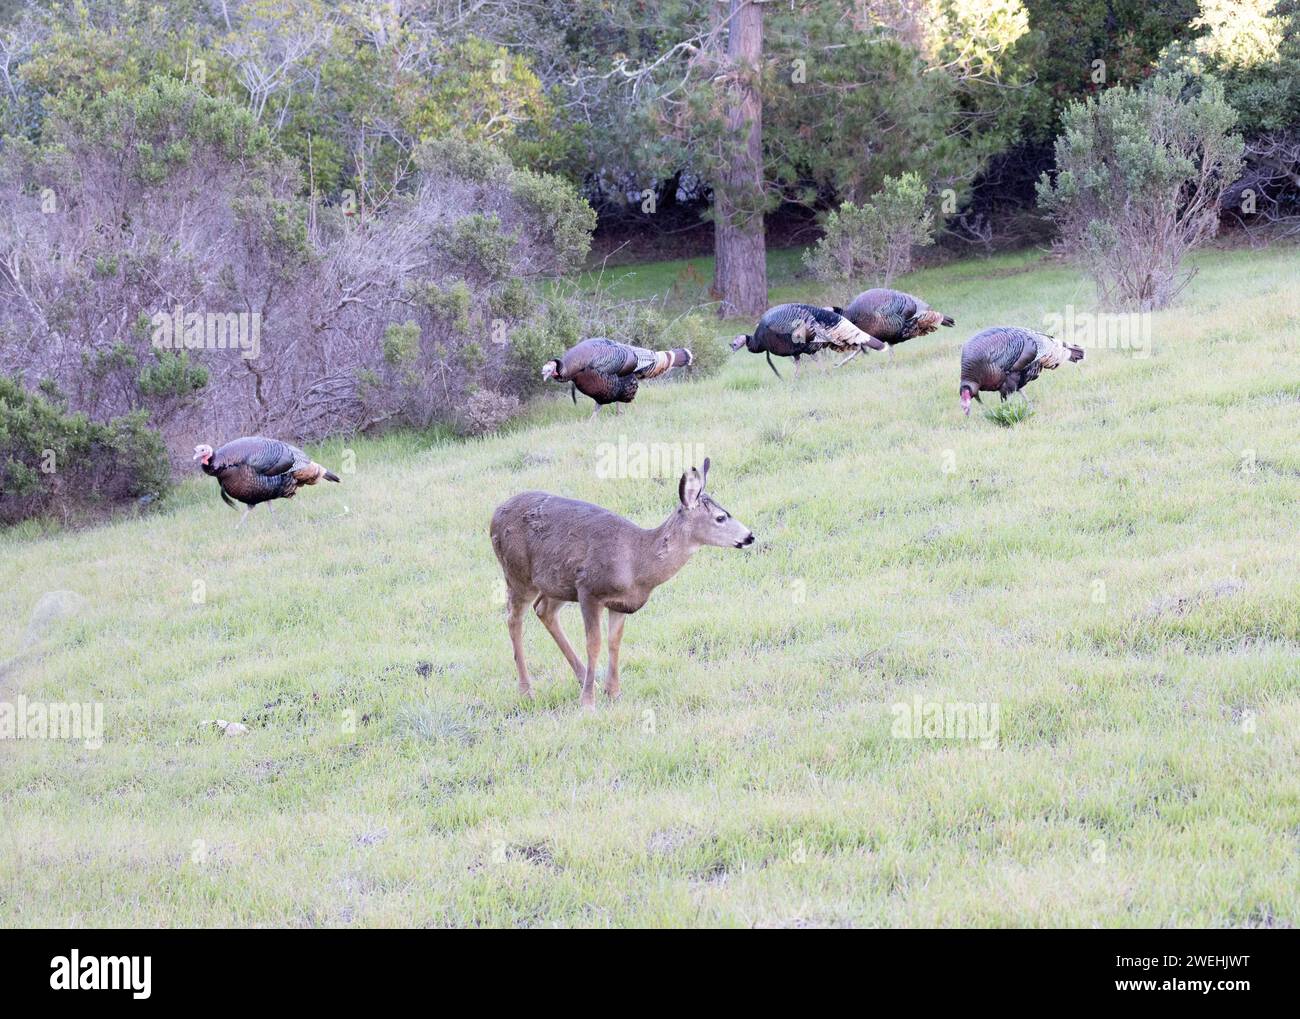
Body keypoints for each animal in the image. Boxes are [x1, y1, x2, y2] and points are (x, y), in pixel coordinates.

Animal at [489, 458, 755, 709]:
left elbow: (614, 643)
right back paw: (527, 691)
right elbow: (594, 644)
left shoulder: (621, 603)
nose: (749, 536)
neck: (637, 564)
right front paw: (588, 703)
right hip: (517, 573)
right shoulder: (588, 589)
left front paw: (613, 692)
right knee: (514, 619)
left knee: (543, 609)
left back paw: (583, 677)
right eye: (720, 517)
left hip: (556, 583)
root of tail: (494, 515)